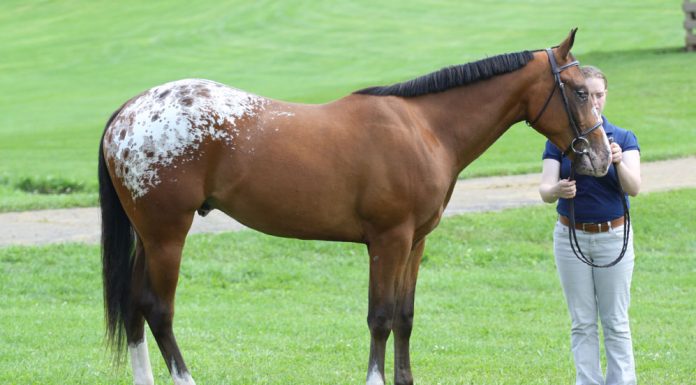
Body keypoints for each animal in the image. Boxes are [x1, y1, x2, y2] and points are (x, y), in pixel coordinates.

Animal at [98, 30, 608, 384]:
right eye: (580, 92)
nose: (602, 158)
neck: (425, 128)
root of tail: (128, 111)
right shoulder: (389, 239)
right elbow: (380, 317)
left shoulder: (415, 243)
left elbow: (404, 316)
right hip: (168, 235)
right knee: (158, 310)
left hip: (149, 237)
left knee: (134, 309)